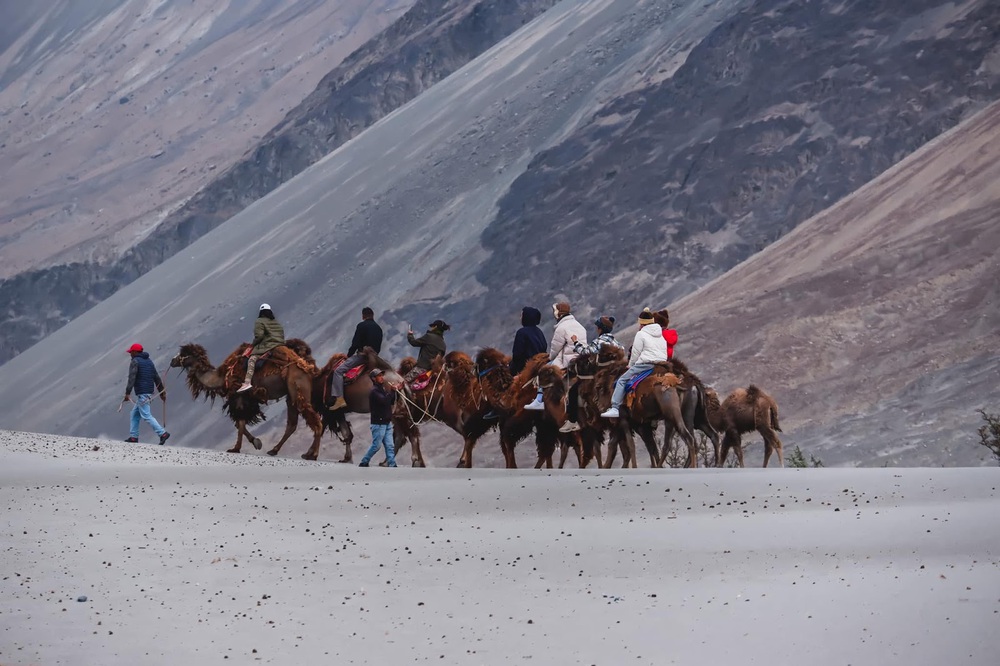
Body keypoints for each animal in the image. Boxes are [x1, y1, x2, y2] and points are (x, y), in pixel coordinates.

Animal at [170, 338, 322, 456]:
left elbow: (240, 422)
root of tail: (306, 364)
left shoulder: (239, 395)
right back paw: (275, 450)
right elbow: (239, 423)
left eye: (184, 354)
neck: (222, 376)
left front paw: (236, 448)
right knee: (292, 423)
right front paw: (255, 442)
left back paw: (312, 454)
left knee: (314, 420)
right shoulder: (249, 399)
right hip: (291, 395)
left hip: (297, 386)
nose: (172, 361)